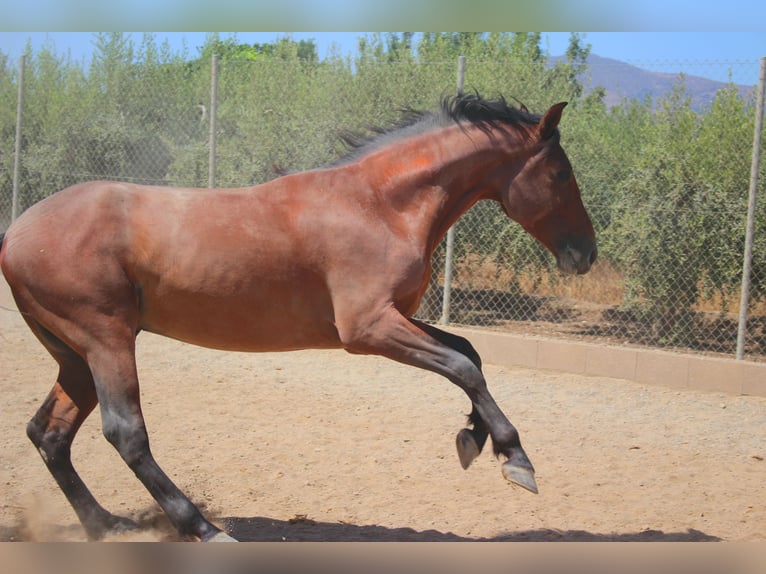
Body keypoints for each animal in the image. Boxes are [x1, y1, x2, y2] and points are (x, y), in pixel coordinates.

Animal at [0, 92, 596, 544]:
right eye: (560, 172)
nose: (586, 254)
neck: (380, 204)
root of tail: (17, 231)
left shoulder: (394, 319)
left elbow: (468, 354)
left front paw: (474, 438)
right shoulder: (368, 329)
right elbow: (463, 366)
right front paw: (515, 458)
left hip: (75, 354)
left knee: (49, 434)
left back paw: (106, 525)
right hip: (105, 340)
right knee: (125, 433)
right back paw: (203, 529)